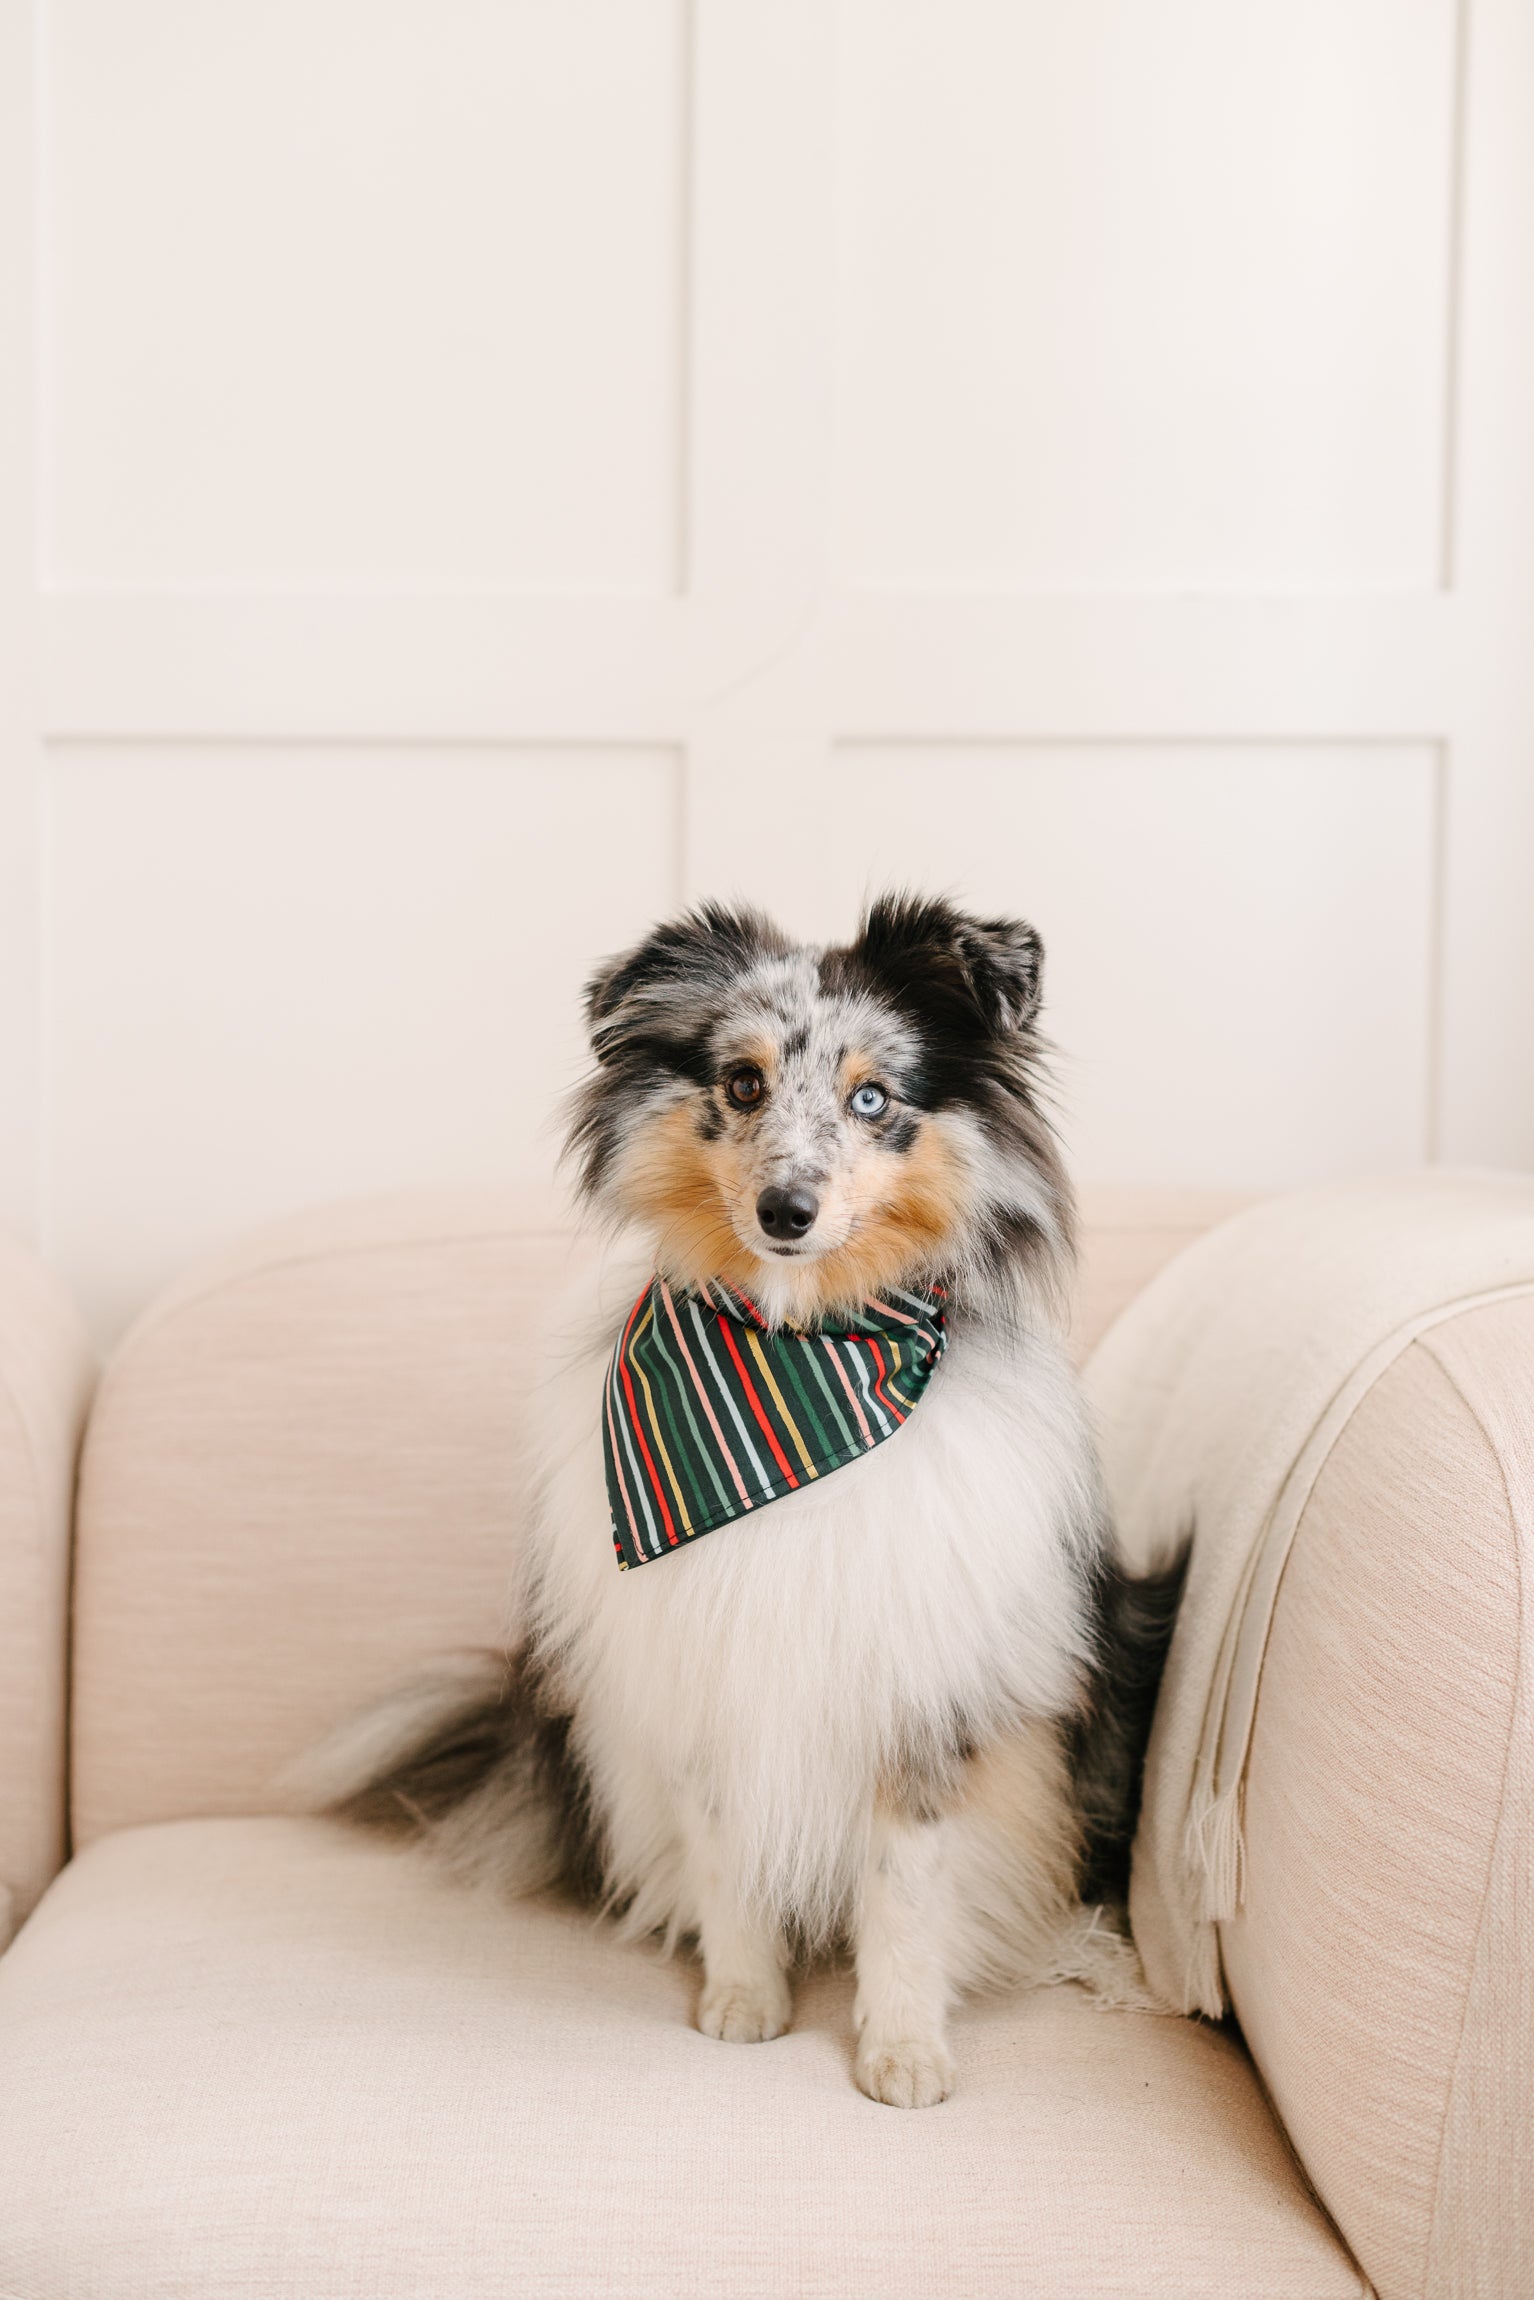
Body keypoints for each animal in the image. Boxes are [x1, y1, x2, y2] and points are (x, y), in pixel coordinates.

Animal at [303, 892, 1186, 2106]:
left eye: (873, 1096)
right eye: (741, 1082)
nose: (786, 1208)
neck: (792, 1357)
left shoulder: (923, 1697)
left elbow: (905, 1888)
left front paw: (902, 2052)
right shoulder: (702, 1675)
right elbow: (728, 1862)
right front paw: (742, 2005)